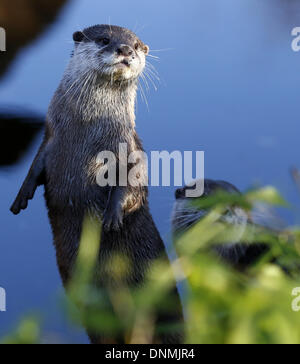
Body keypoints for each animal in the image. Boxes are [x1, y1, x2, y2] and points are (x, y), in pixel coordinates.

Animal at [11, 25, 183, 344]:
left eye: (137, 45)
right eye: (105, 40)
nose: (125, 50)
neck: (89, 127)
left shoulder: (128, 146)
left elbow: (133, 182)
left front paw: (112, 216)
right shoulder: (51, 136)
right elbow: (35, 166)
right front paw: (21, 197)